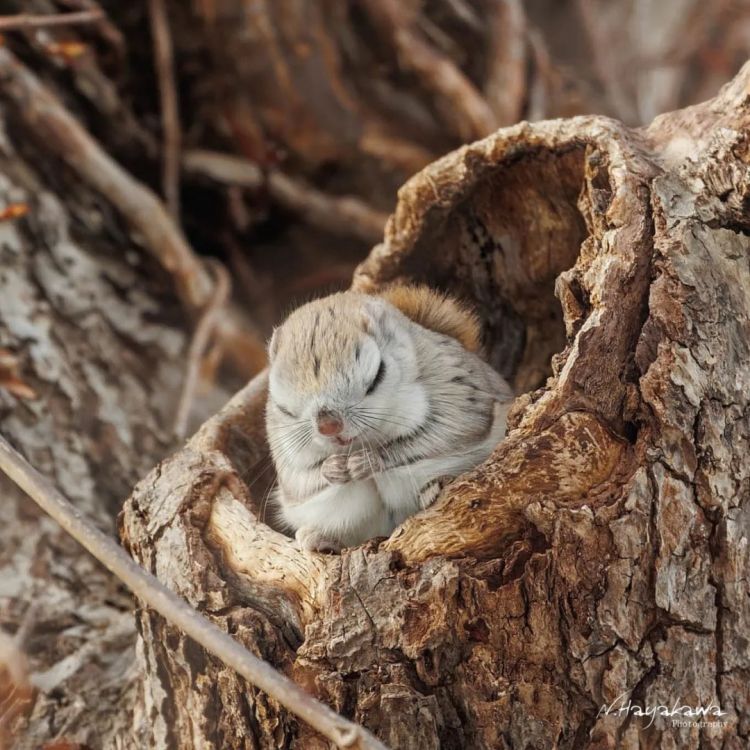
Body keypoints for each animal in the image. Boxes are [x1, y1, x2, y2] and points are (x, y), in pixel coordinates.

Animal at [266, 284, 516, 556]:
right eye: (283, 407)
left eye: (379, 374)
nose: (329, 426)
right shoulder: (285, 457)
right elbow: (301, 482)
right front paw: (332, 468)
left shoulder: (456, 394)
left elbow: (441, 435)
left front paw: (366, 461)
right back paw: (318, 538)